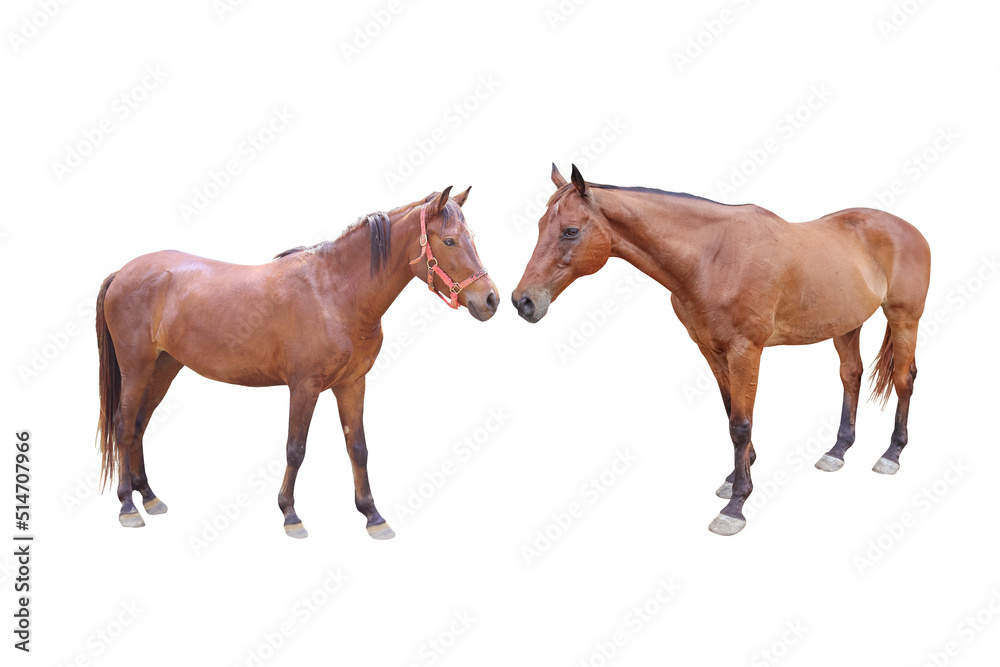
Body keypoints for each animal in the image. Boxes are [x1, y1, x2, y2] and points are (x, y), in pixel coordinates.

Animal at [96, 187, 498, 539]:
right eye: (449, 241)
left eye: (471, 237)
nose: (491, 299)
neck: (334, 291)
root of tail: (122, 272)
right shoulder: (304, 387)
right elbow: (296, 448)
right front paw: (290, 514)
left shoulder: (352, 384)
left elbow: (358, 448)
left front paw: (372, 515)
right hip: (136, 369)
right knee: (123, 426)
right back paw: (128, 507)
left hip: (163, 368)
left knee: (139, 426)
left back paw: (149, 497)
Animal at [512, 164, 931, 536]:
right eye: (540, 227)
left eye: (570, 231)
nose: (523, 302)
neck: (711, 258)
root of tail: (910, 229)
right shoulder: (711, 351)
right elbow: (730, 413)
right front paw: (735, 476)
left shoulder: (746, 351)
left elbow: (741, 423)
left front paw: (736, 505)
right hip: (846, 325)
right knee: (851, 376)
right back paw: (837, 451)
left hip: (904, 319)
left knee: (904, 379)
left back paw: (891, 454)